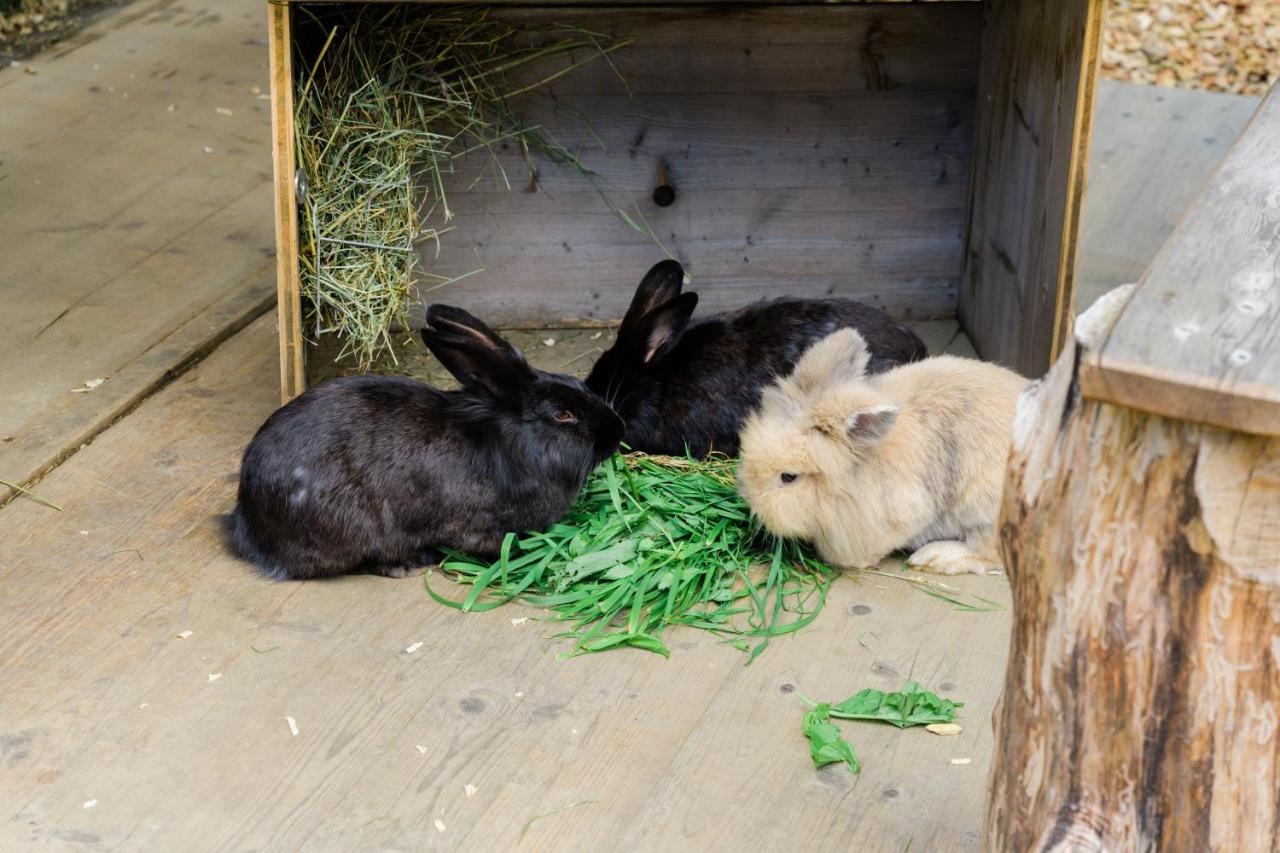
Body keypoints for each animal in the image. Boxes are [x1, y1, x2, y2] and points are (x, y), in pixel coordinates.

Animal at [231, 303, 629, 578]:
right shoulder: (475, 526)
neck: (514, 444)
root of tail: (245, 519)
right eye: (563, 415)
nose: (618, 431)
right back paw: (407, 563)